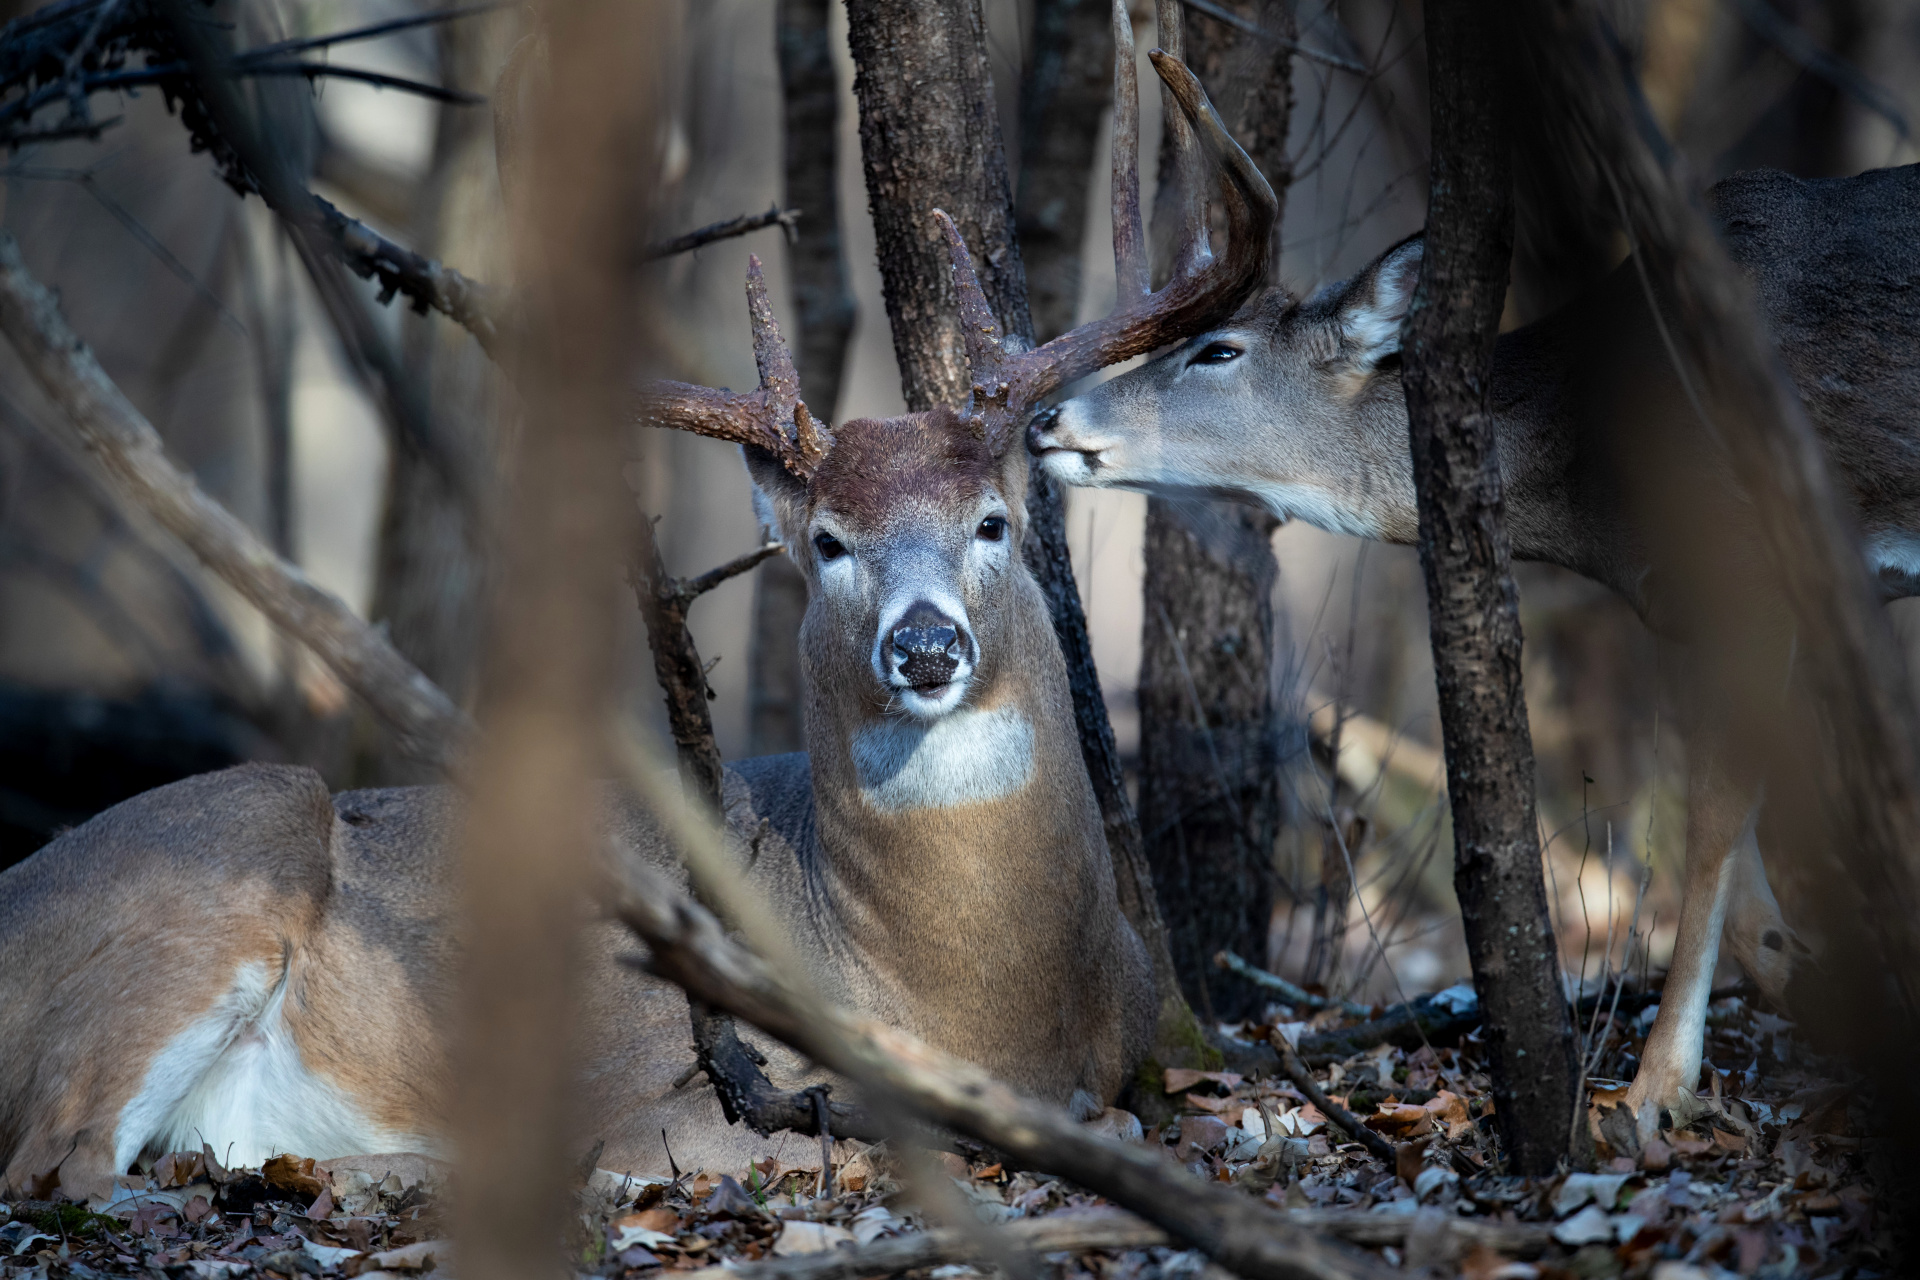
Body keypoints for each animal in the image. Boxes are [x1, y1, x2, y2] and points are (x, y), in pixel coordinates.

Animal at [0, 17, 1282, 1205]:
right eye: (828, 543)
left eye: (993, 521)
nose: (925, 643)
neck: (980, 1001)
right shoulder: (669, 1096)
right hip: (232, 843)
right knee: (61, 1163)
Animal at [1036, 157, 1920, 1143]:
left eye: (1218, 351)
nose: (1045, 417)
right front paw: (1807, 980)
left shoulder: (1752, 558)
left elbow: (1718, 817)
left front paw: (1652, 1093)